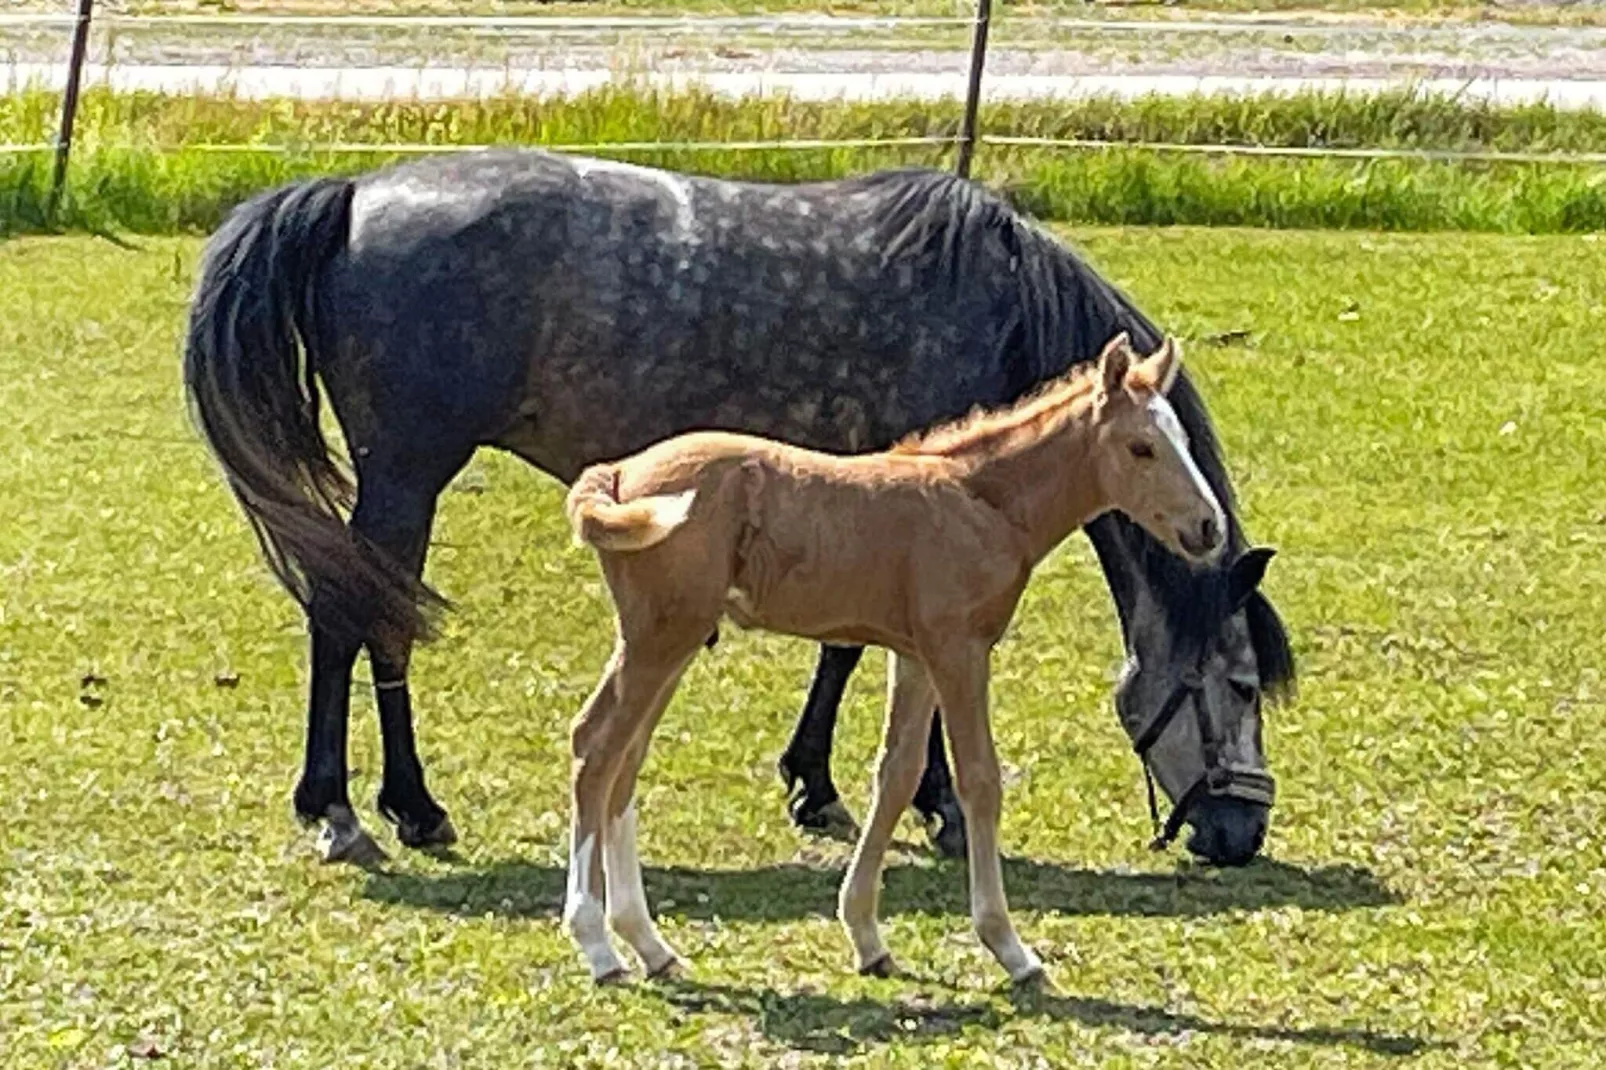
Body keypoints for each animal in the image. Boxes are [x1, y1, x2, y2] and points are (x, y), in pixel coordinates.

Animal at [184, 147, 1291, 867]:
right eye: (1239, 686)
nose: (1241, 833)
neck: (1000, 303)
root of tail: (352, 194)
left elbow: (848, 645)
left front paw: (816, 781)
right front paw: (916, 798)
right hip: (407, 472)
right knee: (354, 618)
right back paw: (372, 808)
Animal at [558, 329, 1220, 976]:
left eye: (1183, 440)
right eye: (1141, 448)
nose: (1208, 527)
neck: (981, 502)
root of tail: (618, 472)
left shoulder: (917, 656)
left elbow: (896, 775)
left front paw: (867, 937)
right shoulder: (959, 651)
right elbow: (980, 780)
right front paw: (1009, 947)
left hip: (673, 640)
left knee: (625, 759)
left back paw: (649, 946)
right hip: (659, 638)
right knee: (597, 745)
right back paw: (598, 946)